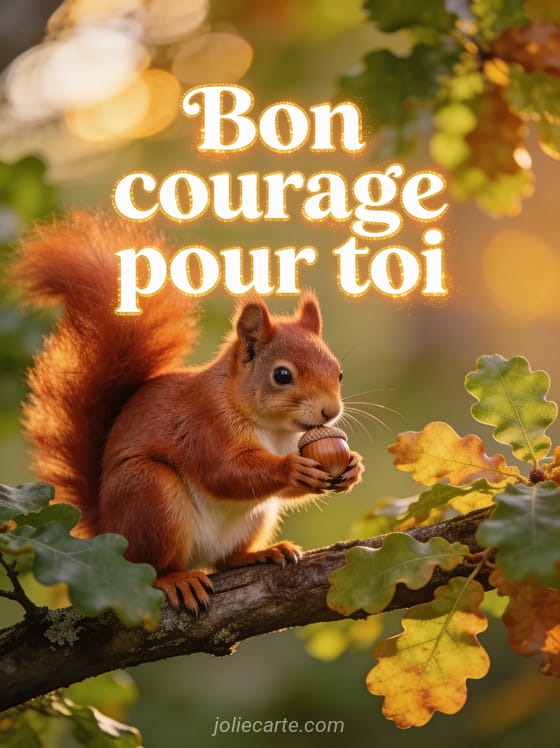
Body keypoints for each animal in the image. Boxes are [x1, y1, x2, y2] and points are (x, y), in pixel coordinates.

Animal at [13, 210, 364, 611]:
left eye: (338, 371)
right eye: (282, 375)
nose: (330, 411)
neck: (273, 429)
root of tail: (107, 528)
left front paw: (352, 466)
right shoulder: (202, 423)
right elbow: (225, 472)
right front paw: (292, 469)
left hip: (254, 518)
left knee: (225, 560)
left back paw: (260, 553)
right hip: (149, 494)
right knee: (151, 568)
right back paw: (176, 579)